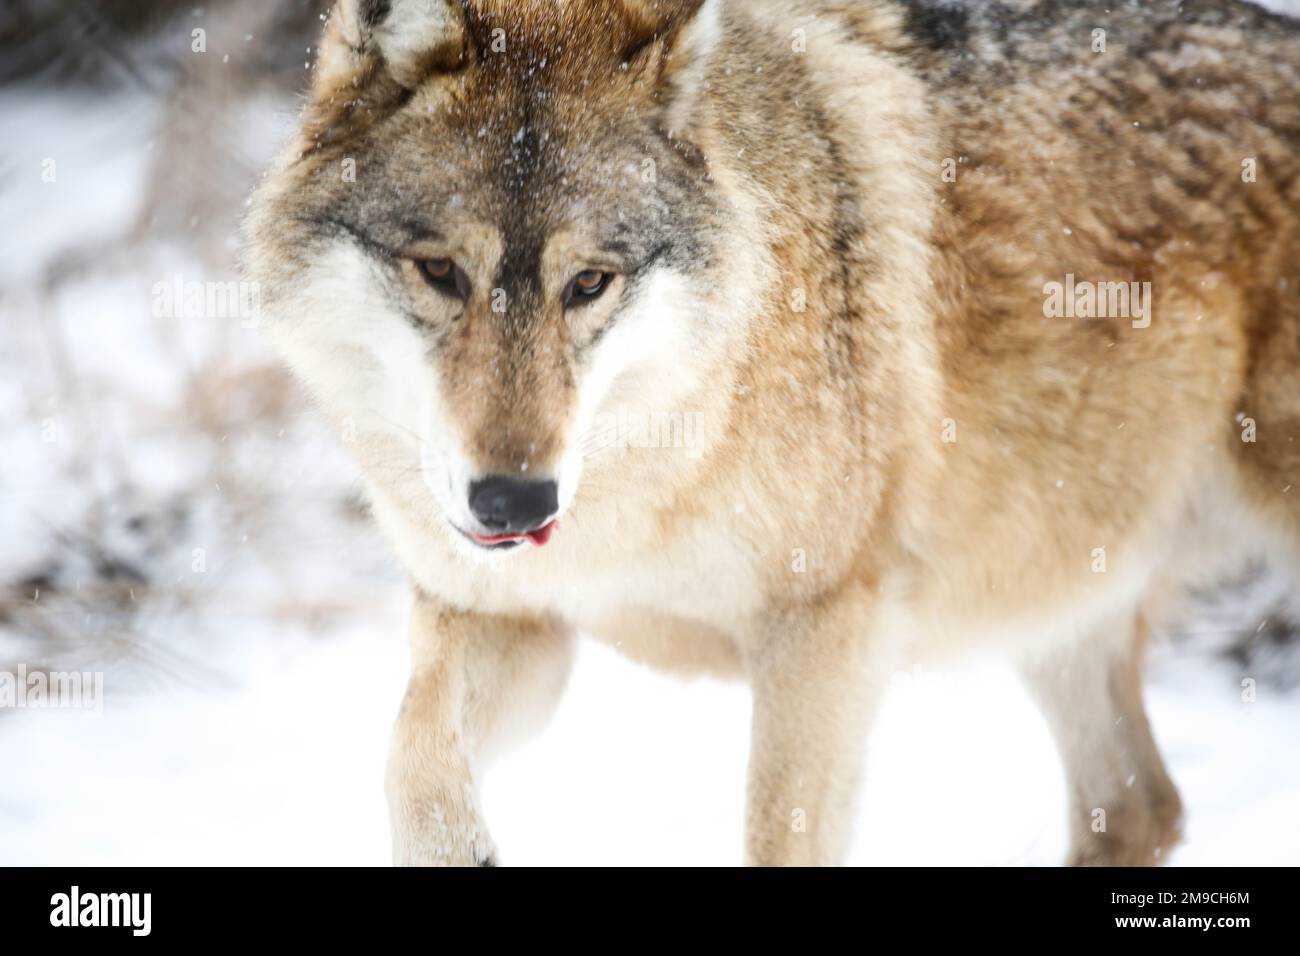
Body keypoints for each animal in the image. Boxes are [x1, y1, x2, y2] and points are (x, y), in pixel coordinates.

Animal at [248, 0, 1300, 868]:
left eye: (589, 283)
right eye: (440, 272)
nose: (514, 502)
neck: (655, 473)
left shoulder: (826, 630)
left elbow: (778, 835)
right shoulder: (507, 616)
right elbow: (412, 753)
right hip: (1051, 599)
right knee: (1143, 807)